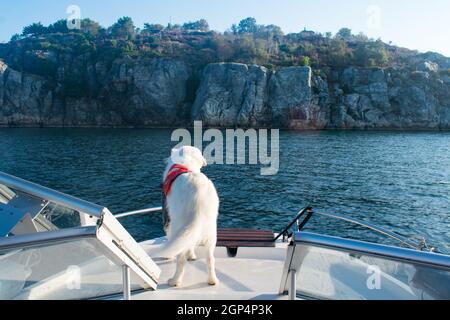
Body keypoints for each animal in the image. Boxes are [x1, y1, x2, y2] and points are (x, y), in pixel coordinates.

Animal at [157, 146, 219, 286]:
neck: (185, 164)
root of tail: (199, 198)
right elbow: (190, 244)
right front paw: (192, 256)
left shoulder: (167, 216)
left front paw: (168, 256)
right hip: (210, 231)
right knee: (210, 259)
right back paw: (212, 280)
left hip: (178, 224)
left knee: (180, 260)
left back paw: (174, 281)